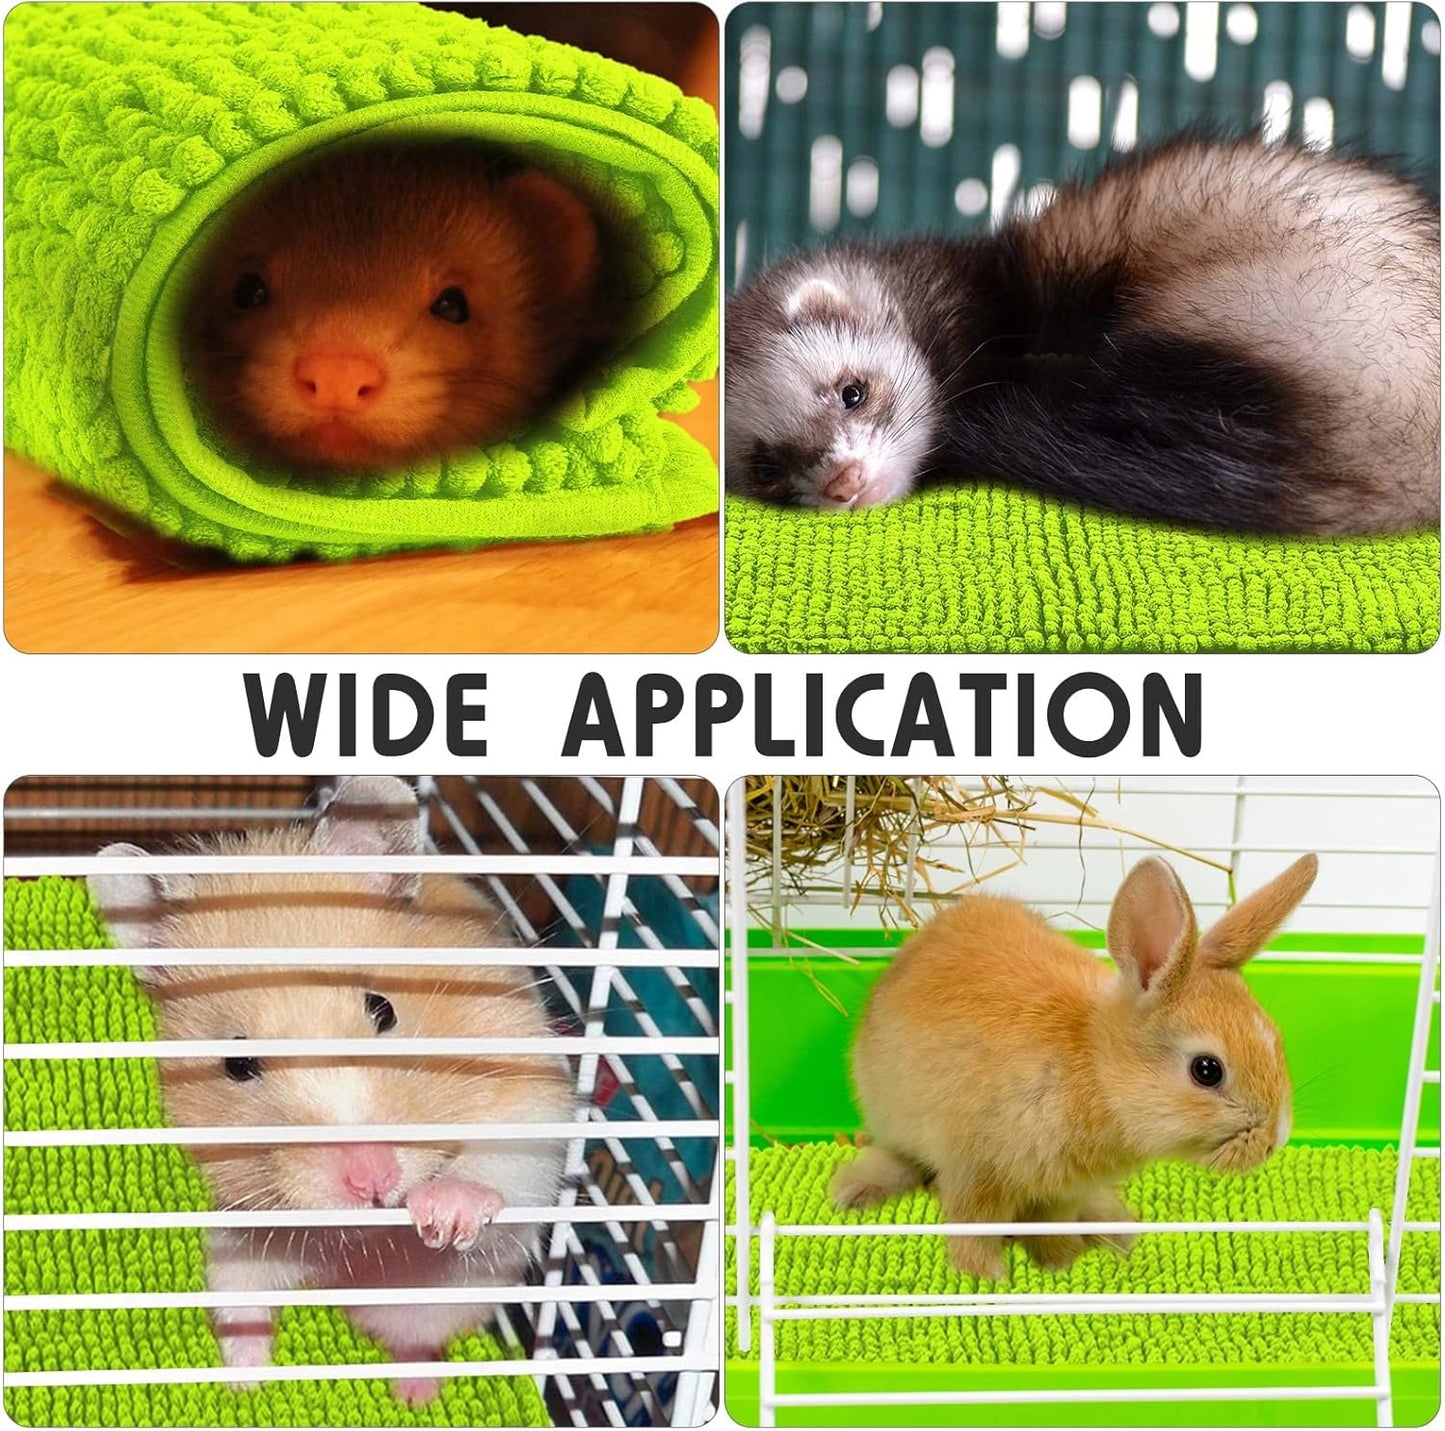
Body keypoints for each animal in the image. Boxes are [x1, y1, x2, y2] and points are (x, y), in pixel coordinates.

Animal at [86, 776, 573, 1405]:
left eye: (383, 1009)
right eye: (237, 1064)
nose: (373, 1181)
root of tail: (338, 1284)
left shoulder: (531, 1089)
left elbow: (499, 1163)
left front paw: (442, 1215)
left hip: (443, 1294)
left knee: (418, 1337)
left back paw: (415, 1394)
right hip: (240, 1254)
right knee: (244, 1307)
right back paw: (244, 1382)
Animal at [831, 853, 1318, 1280]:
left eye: (1276, 1040)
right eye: (1207, 1070)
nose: (1276, 1141)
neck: (1097, 1072)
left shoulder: (1061, 1193)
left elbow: (1053, 1226)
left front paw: (1061, 1263)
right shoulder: (976, 1172)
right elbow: (974, 1226)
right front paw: (987, 1277)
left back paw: (1114, 1229)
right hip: (892, 1116)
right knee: (898, 1156)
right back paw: (854, 1192)